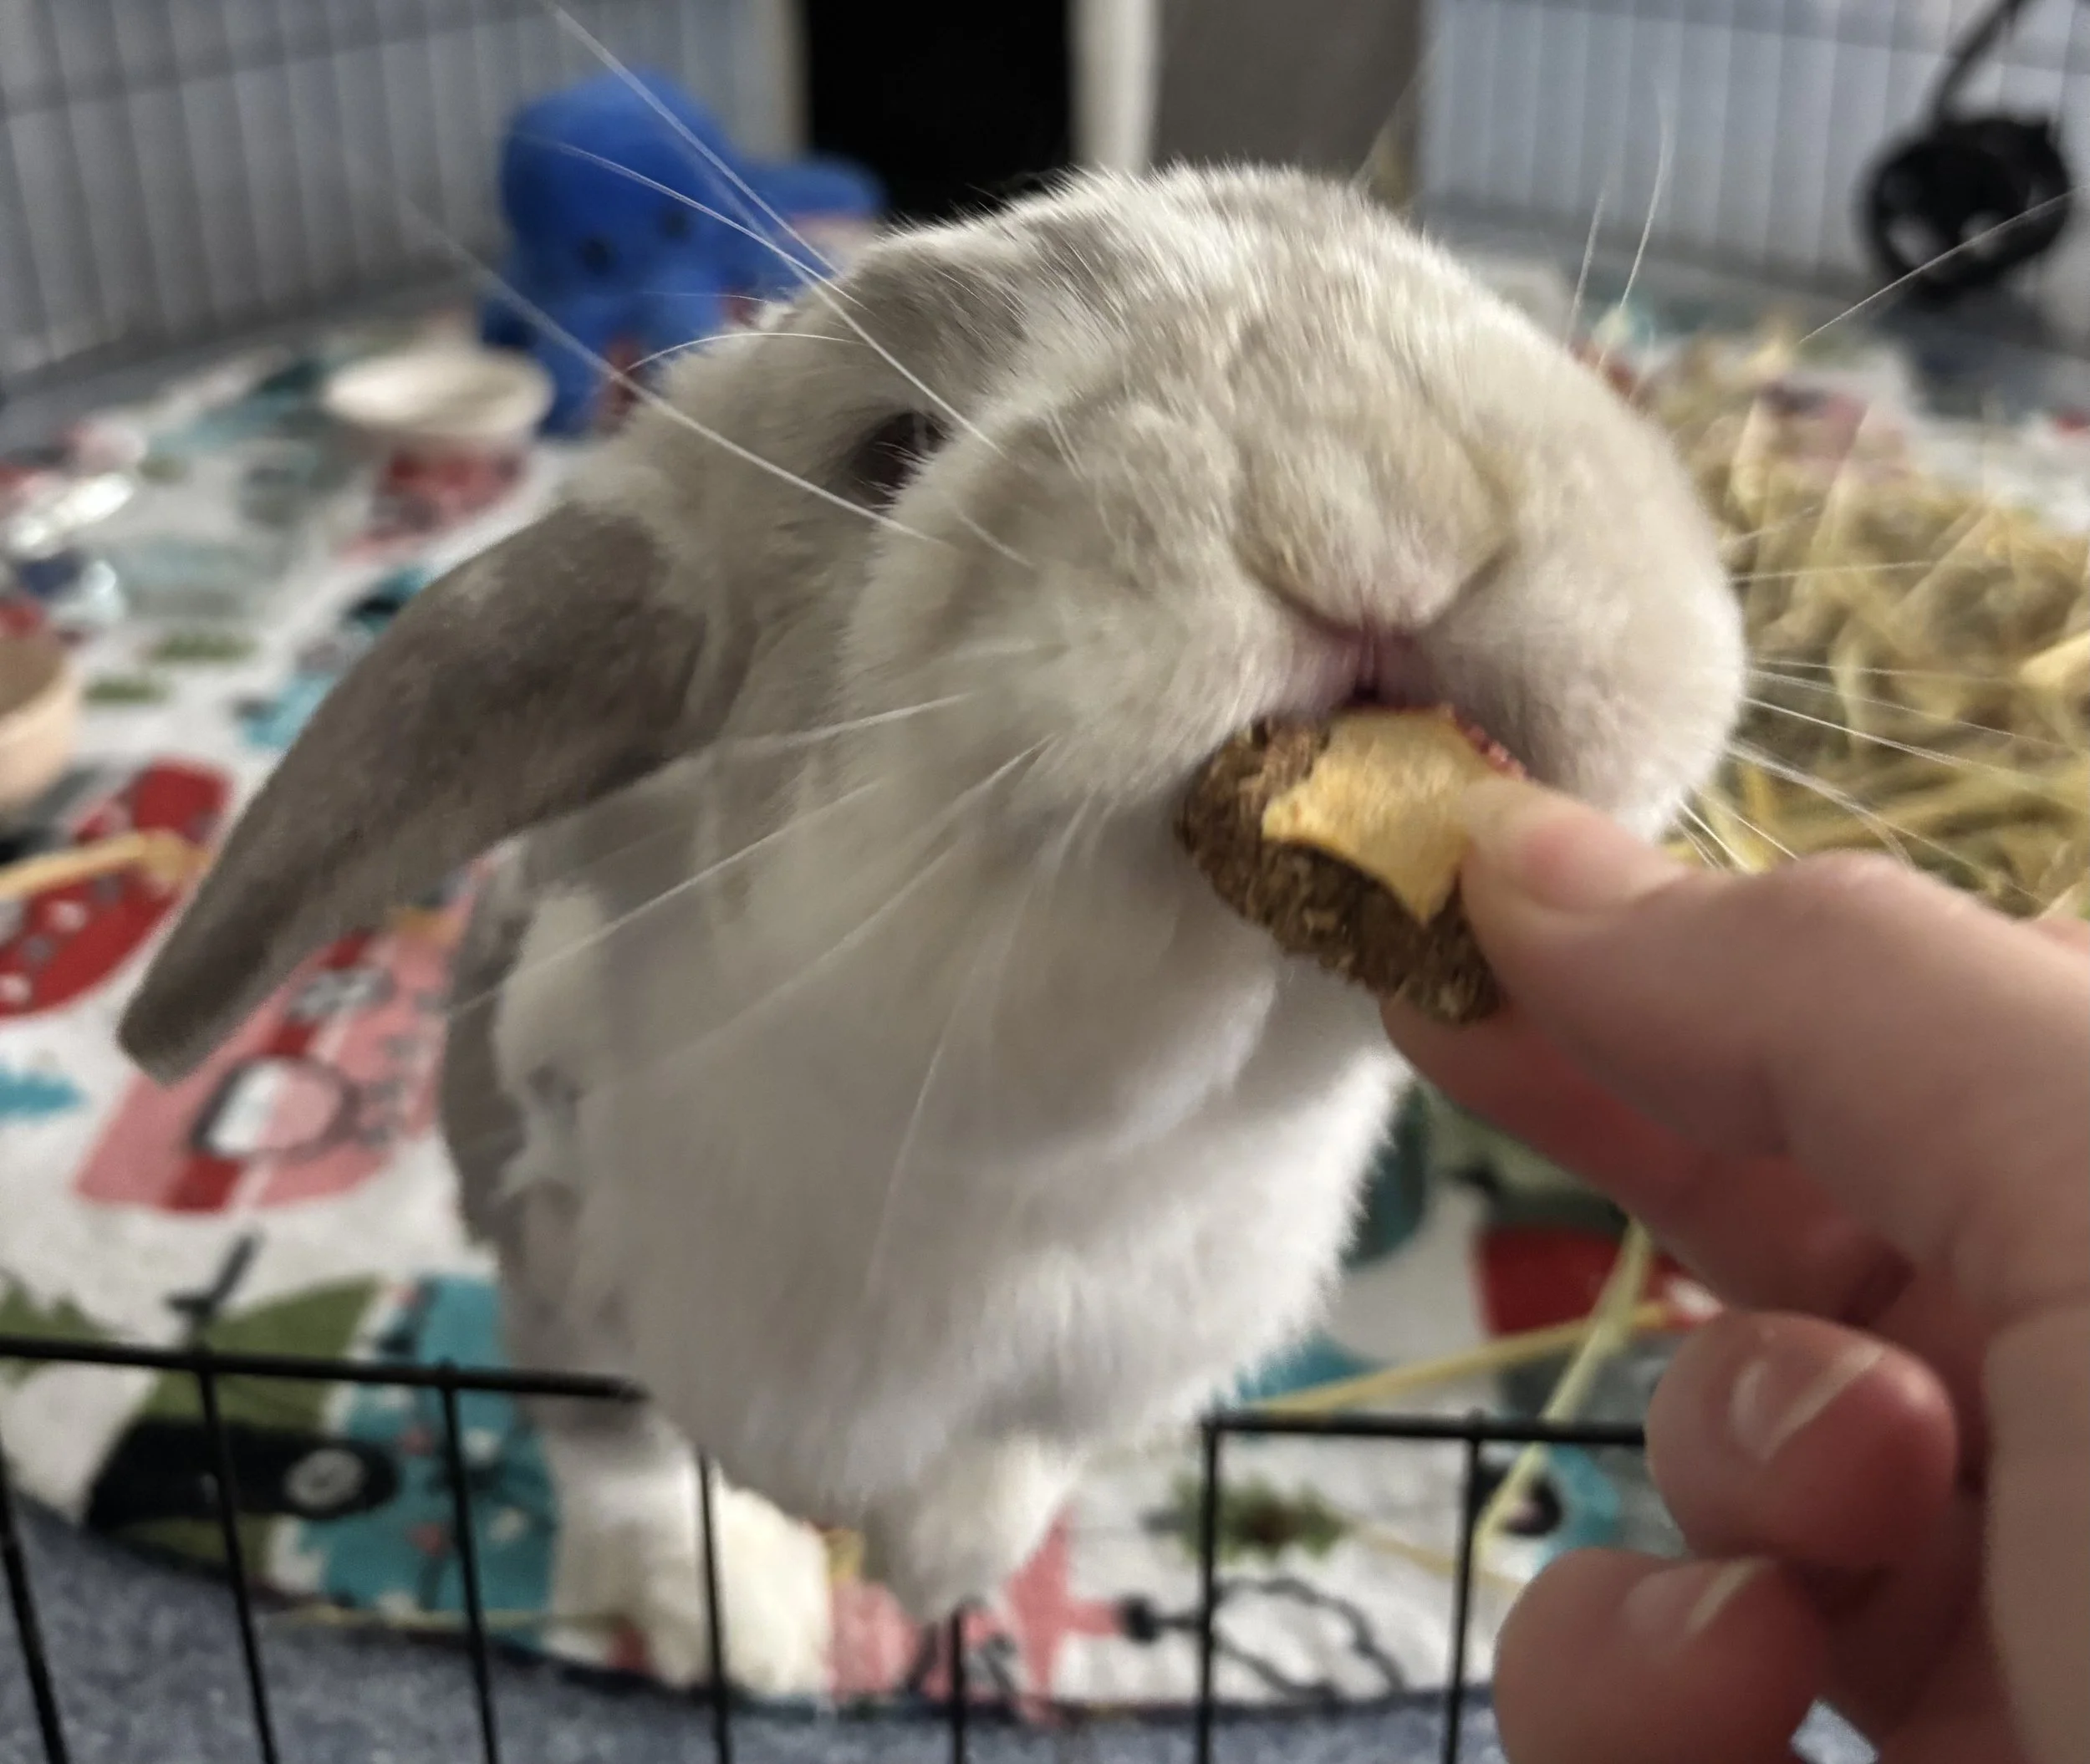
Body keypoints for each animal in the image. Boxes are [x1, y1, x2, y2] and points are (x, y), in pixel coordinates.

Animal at [116, 164, 1746, 1678]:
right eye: (887, 454)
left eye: (1439, 285)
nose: (1365, 496)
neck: (1036, 1165)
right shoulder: (565, 1301)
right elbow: (631, 1466)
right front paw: (745, 1627)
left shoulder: (1098, 1372)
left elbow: (1016, 1452)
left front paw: (943, 1570)